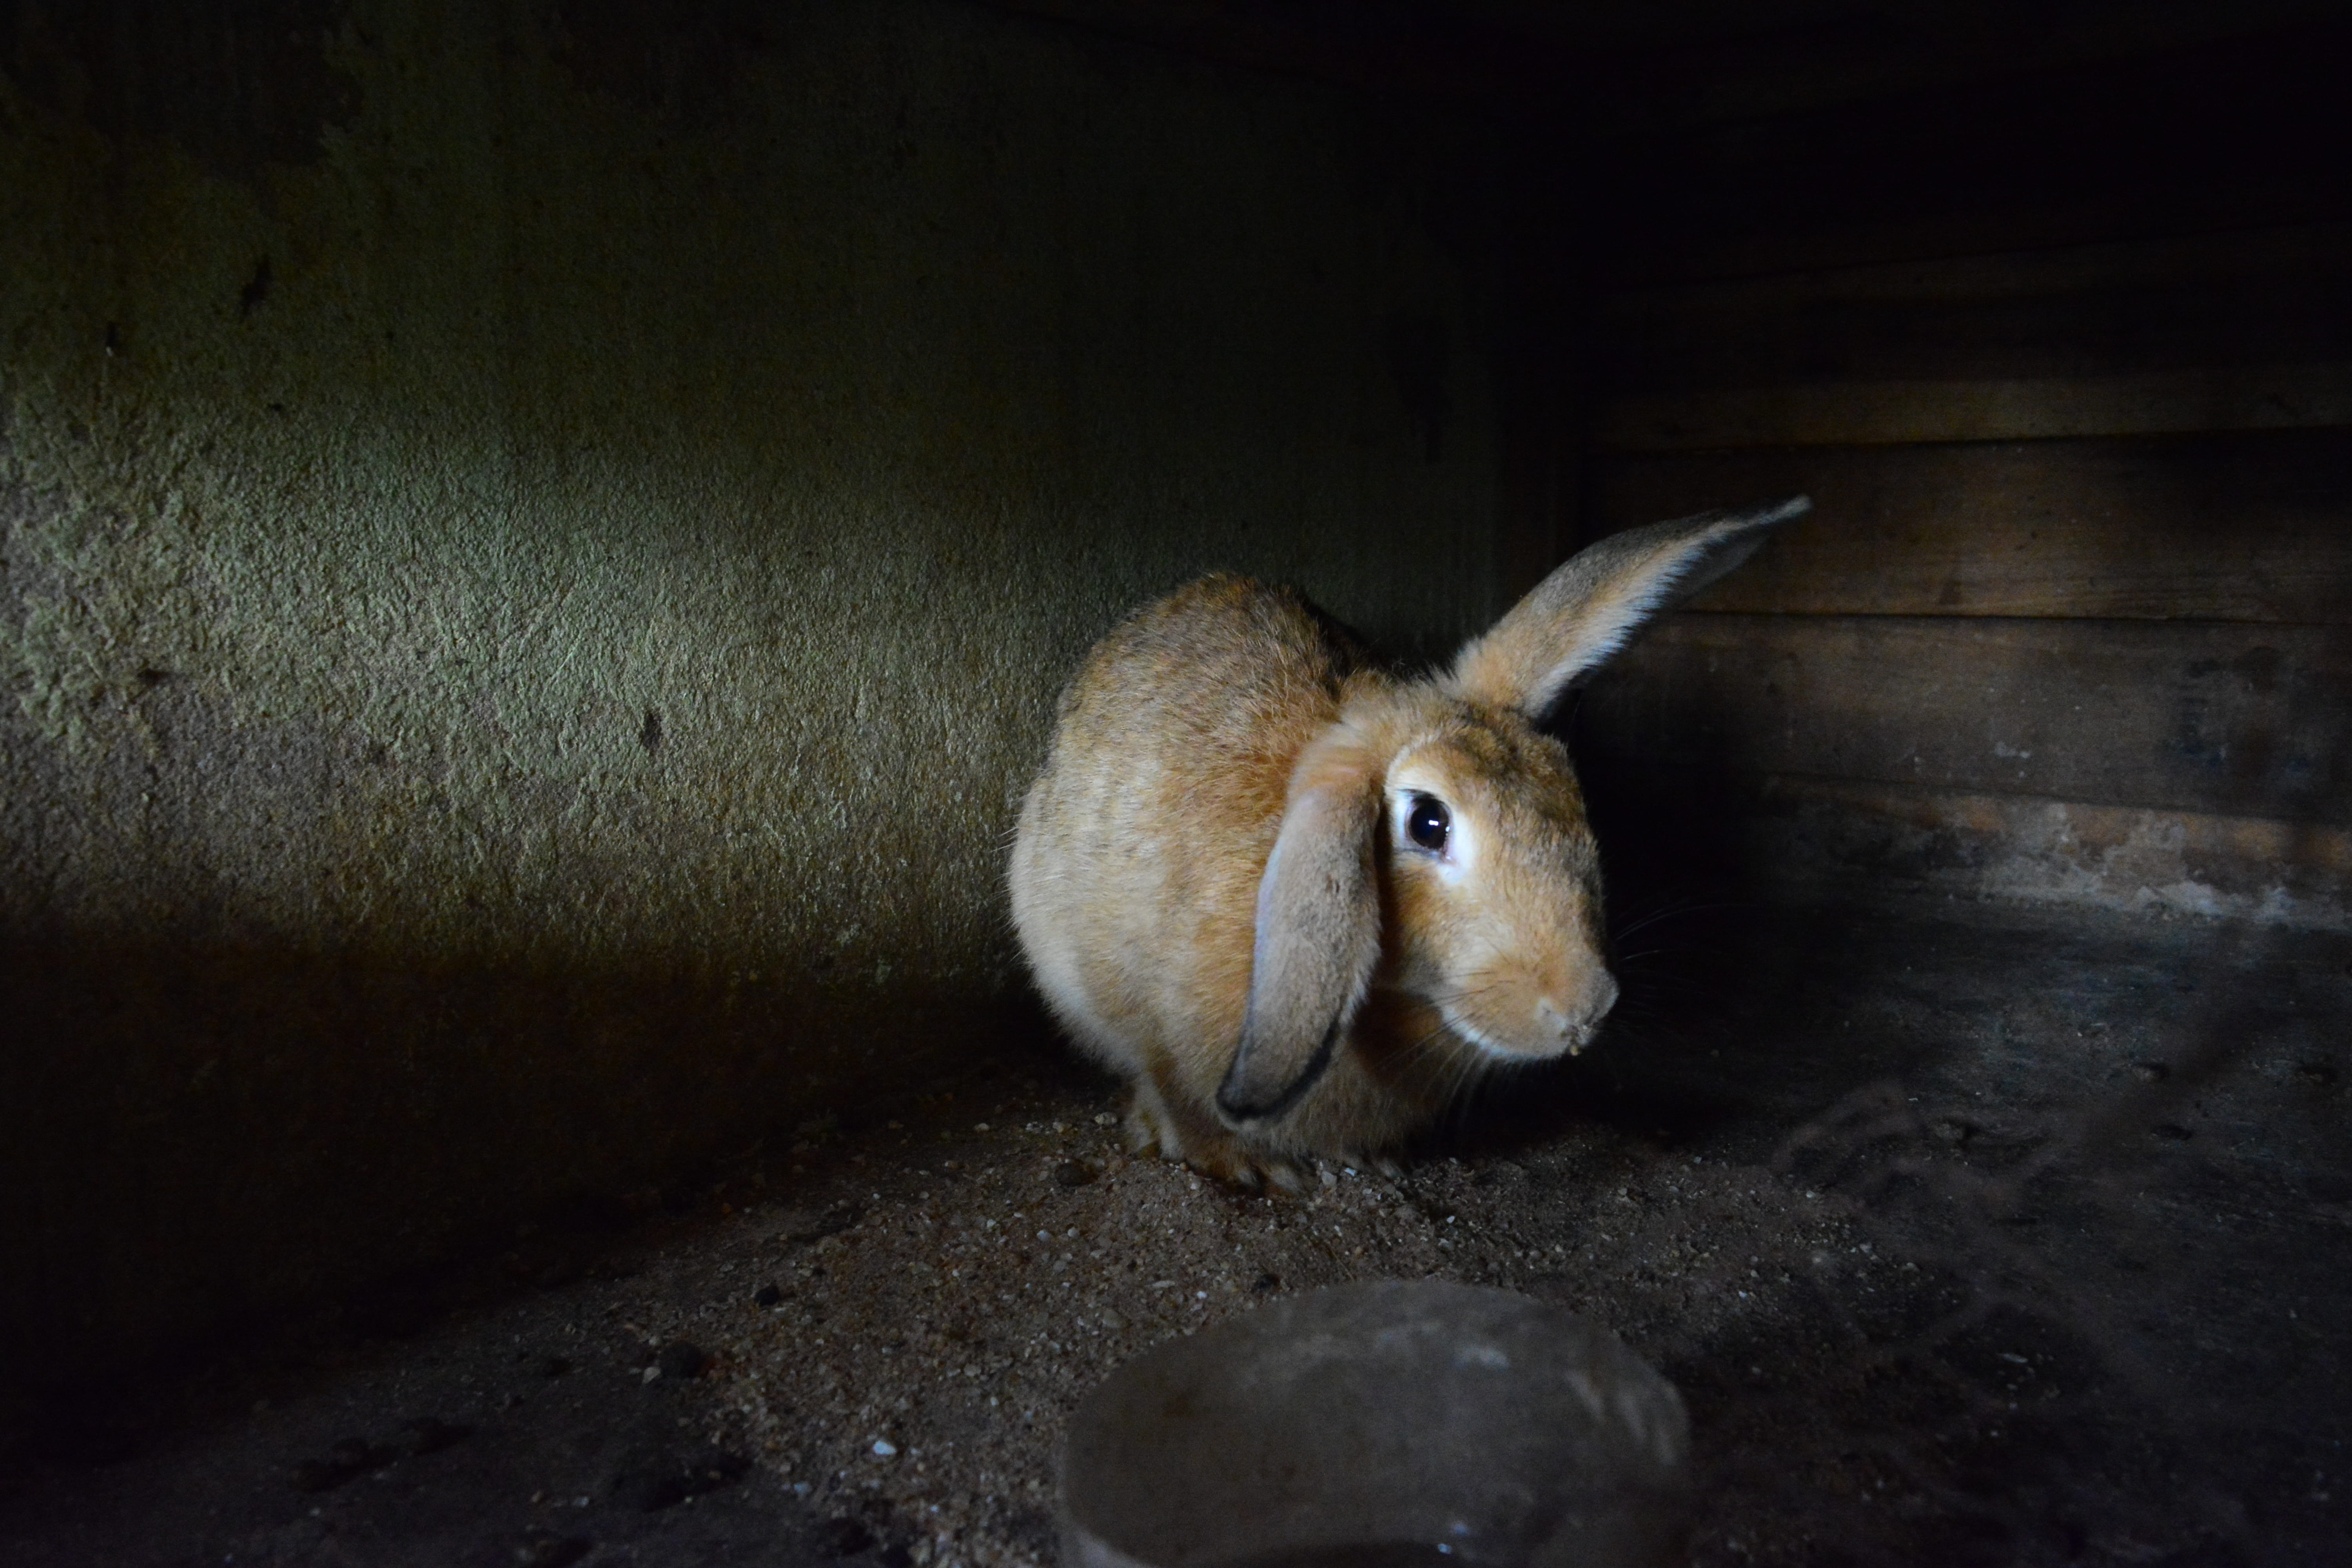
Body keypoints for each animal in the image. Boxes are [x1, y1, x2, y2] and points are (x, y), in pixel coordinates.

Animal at [1008, 497, 1809, 1189]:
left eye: (1572, 796)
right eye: (1428, 823)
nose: (1585, 1008)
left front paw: (1373, 1160)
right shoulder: (1148, 1023)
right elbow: (1177, 1093)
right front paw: (1244, 1166)